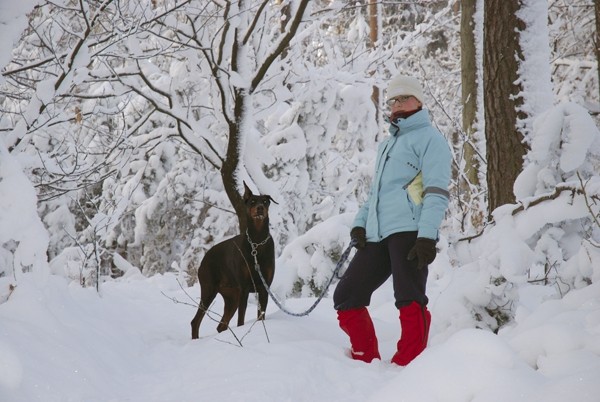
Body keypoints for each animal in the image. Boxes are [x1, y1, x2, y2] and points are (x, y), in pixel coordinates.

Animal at [190, 183, 276, 340]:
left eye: (265, 201)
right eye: (252, 201)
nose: (260, 208)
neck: (257, 241)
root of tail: (204, 259)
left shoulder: (264, 287)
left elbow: (261, 316)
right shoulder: (245, 288)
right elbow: (241, 319)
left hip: (232, 297)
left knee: (221, 326)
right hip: (209, 289)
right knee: (196, 321)